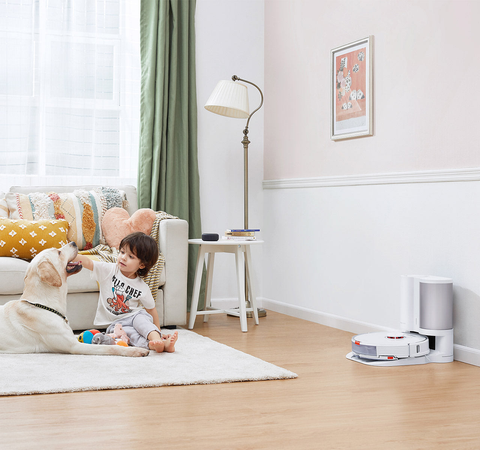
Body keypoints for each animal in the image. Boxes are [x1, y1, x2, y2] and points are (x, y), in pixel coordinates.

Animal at [0, 241, 148, 356]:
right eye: (59, 252)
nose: (73, 242)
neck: (42, 304)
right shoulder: (74, 346)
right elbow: (109, 348)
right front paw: (136, 350)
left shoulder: (72, 337)